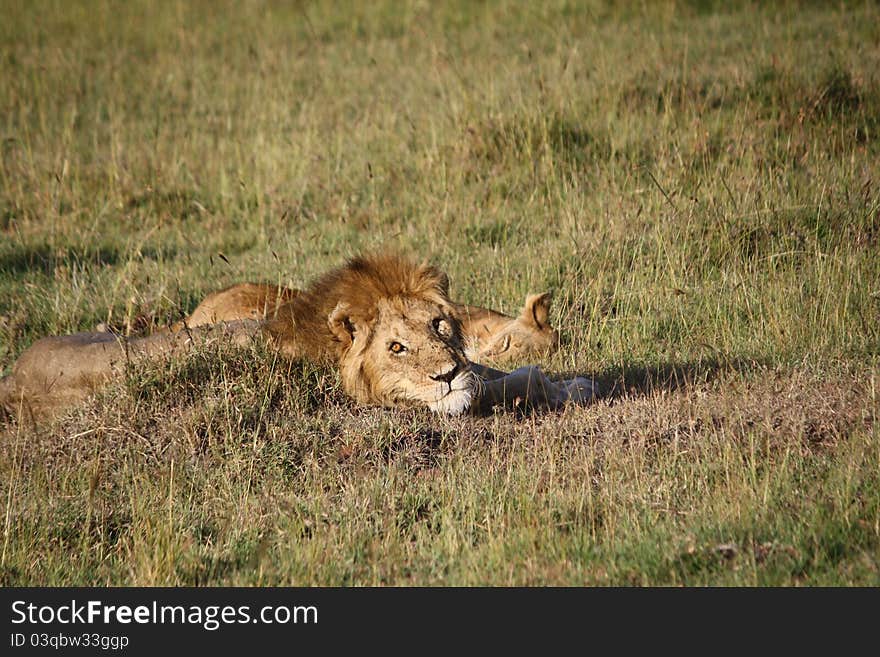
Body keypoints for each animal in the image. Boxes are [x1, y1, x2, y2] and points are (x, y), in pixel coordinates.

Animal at [1, 254, 600, 418]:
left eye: (440, 326)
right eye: (395, 347)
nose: (446, 373)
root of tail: (12, 376)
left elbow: (495, 373)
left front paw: (576, 382)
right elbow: (502, 383)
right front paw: (564, 385)